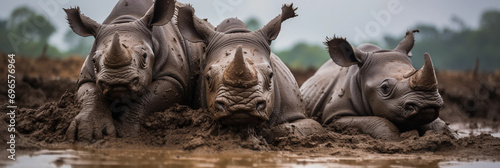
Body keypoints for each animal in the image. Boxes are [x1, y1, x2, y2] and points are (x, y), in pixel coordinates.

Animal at [64, 0, 203, 142]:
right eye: (93, 60)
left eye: (144, 56)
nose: (117, 81)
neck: (126, 19)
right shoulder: (86, 77)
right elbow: (91, 94)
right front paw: (87, 135)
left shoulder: (173, 78)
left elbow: (148, 98)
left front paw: (126, 133)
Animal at [298, 30, 458, 140]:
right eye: (385, 88)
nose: (427, 102)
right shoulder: (335, 116)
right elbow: (378, 122)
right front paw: (393, 139)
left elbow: (438, 124)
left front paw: (452, 136)